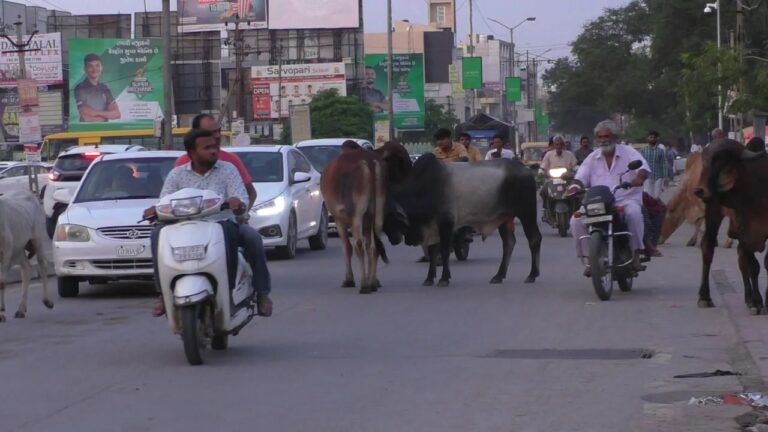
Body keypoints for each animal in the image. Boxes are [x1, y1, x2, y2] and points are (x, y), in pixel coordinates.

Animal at [0, 190, 53, 320]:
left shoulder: (5, 252)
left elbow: (1, 283)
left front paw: (1, 312)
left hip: (37, 239)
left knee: (42, 264)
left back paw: (47, 301)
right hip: (18, 250)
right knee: (26, 269)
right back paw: (21, 309)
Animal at [382, 153, 544, 286]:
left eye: (390, 218)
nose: (394, 240)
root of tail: (526, 169)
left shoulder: (446, 223)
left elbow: (444, 250)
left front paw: (444, 279)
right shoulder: (432, 227)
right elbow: (432, 252)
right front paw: (429, 278)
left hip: (527, 212)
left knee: (534, 238)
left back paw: (532, 275)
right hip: (504, 218)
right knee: (509, 243)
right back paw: (498, 276)